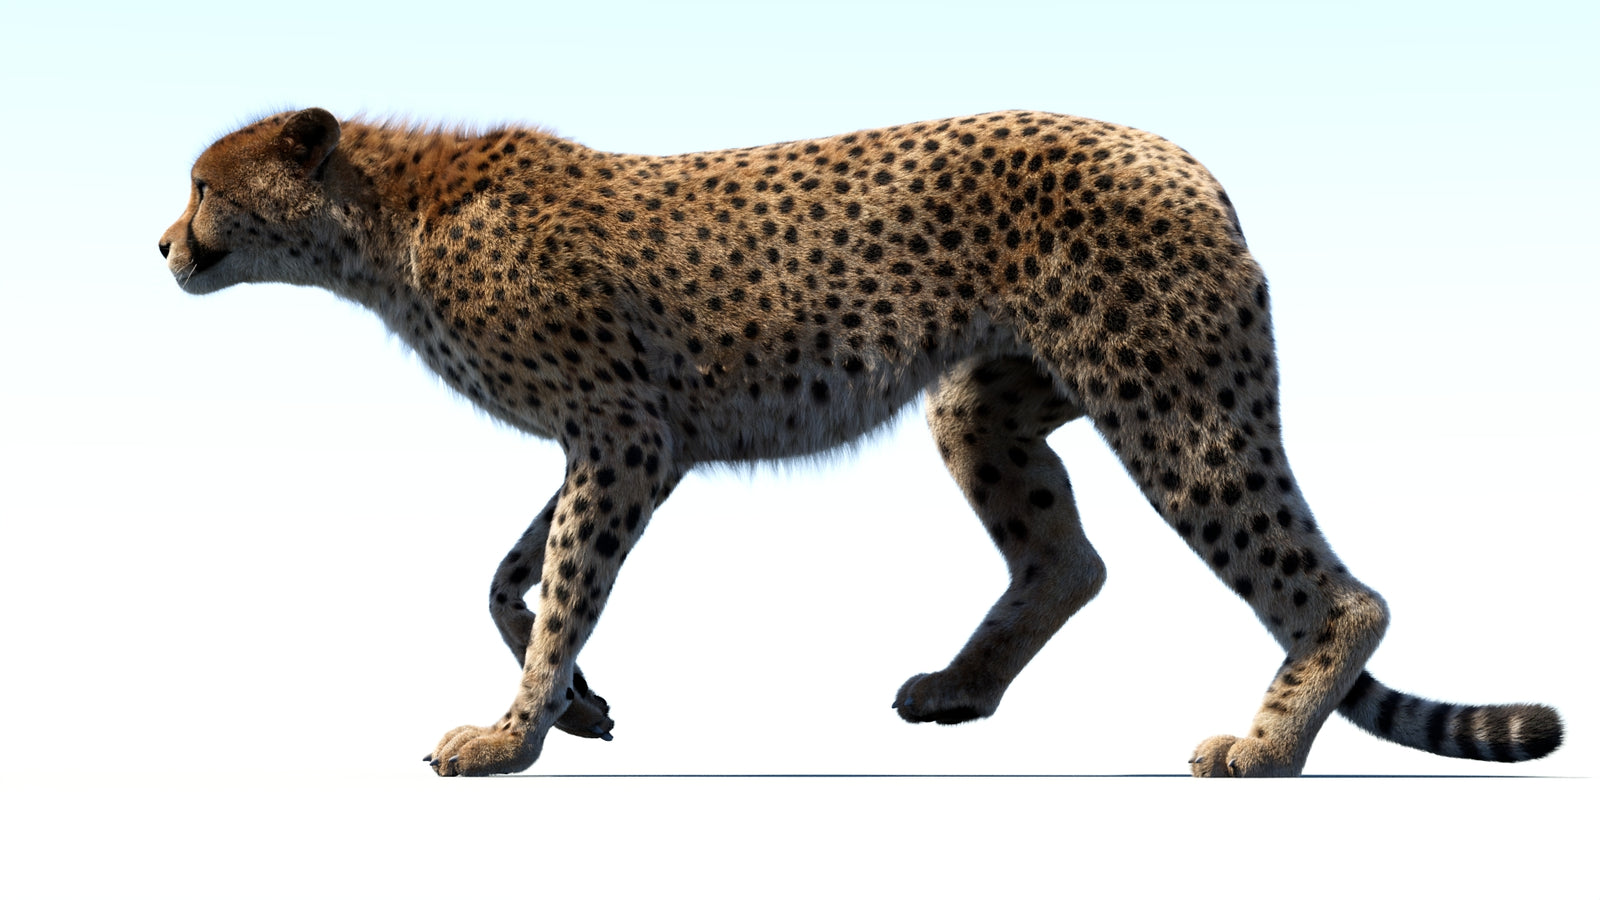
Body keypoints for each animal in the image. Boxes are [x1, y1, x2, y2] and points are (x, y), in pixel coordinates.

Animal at [160, 107, 1563, 776]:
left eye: (204, 185)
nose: (164, 243)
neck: (382, 220)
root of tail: (1181, 158)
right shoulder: (617, 444)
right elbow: (512, 581)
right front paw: (577, 706)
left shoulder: (624, 437)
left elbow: (558, 589)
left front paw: (510, 737)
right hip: (985, 402)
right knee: (1067, 559)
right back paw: (961, 687)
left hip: (1168, 398)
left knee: (1336, 591)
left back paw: (1266, 747)